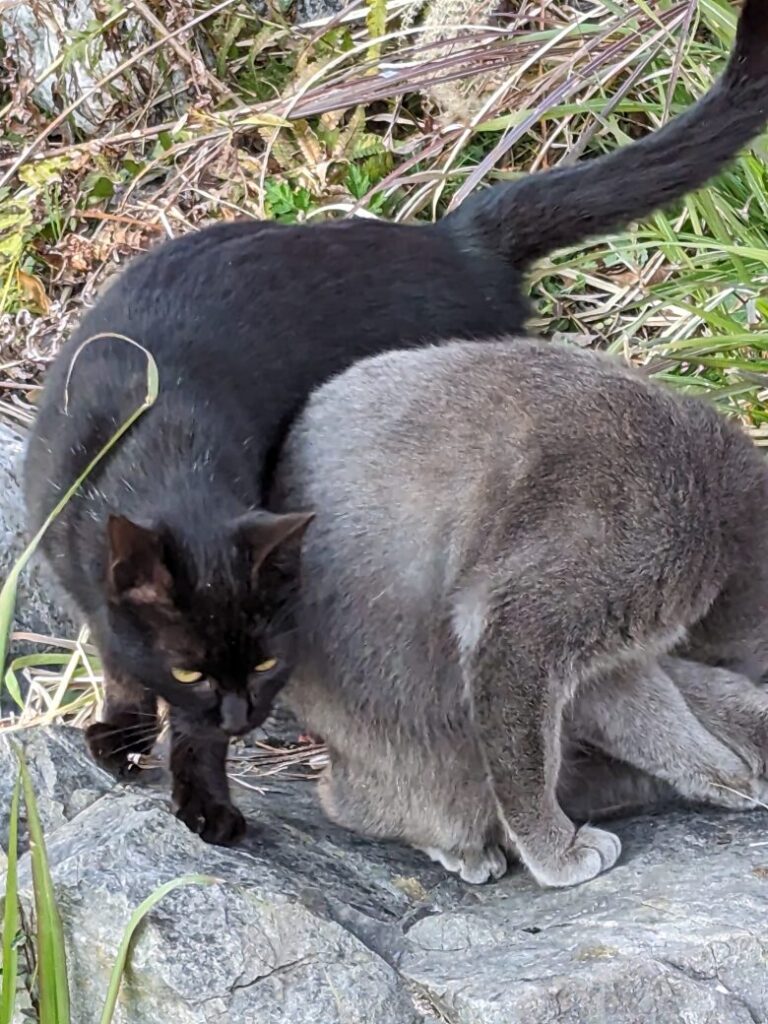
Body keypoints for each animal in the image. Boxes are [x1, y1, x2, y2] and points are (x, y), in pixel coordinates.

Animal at [274, 337, 768, 888]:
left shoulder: (608, 654)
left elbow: (650, 715)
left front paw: (724, 774)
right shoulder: (535, 611)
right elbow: (529, 760)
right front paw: (558, 850)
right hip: (413, 730)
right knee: (390, 799)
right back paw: (462, 846)